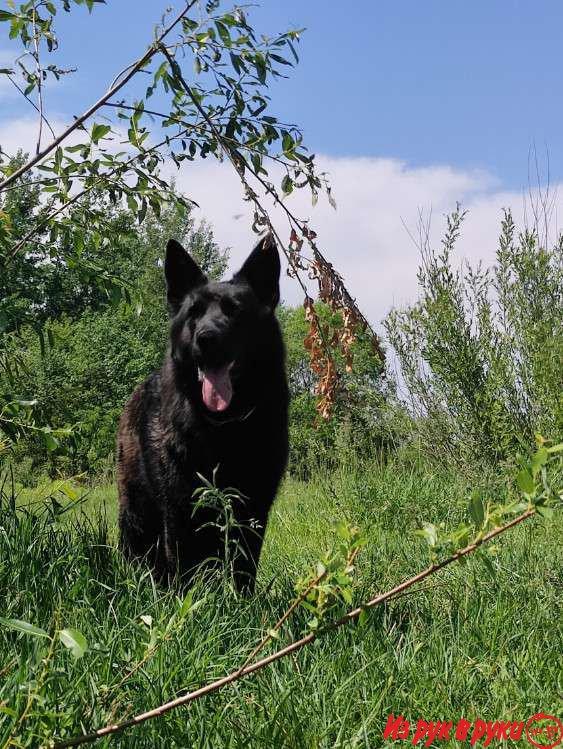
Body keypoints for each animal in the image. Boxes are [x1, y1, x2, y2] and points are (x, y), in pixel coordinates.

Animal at [116, 231, 288, 588]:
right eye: (193, 313)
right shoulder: (180, 509)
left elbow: (243, 568)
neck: (224, 427)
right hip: (137, 513)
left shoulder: (254, 509)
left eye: (235, 311)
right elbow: (184, 569)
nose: (206, 338)